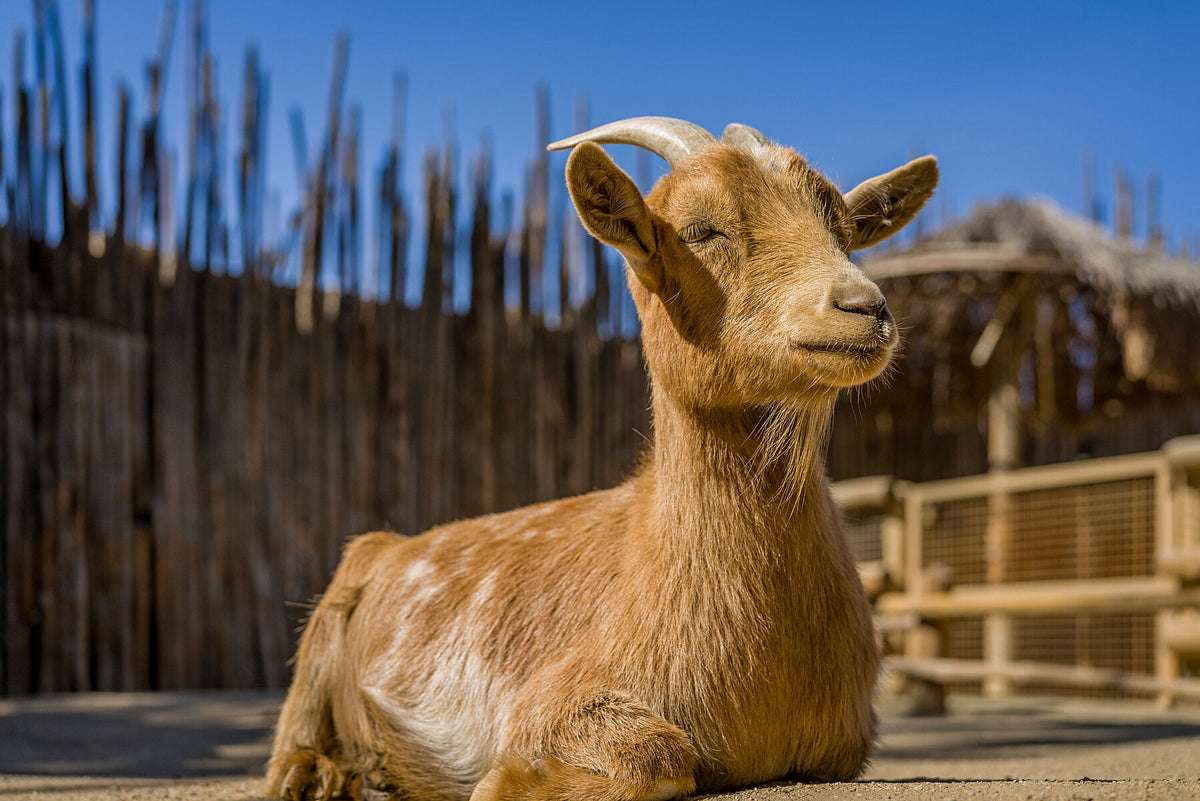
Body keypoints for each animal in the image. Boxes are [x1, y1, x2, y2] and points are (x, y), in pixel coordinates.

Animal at [267, 116, 938, 801]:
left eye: (846, 231)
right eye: (699, 230)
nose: (864, 307)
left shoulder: (842, 748)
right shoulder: (548, 697)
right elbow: (659, 756)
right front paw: (505, 780)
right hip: (323, 632)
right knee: (287, 749)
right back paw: (326, 776)